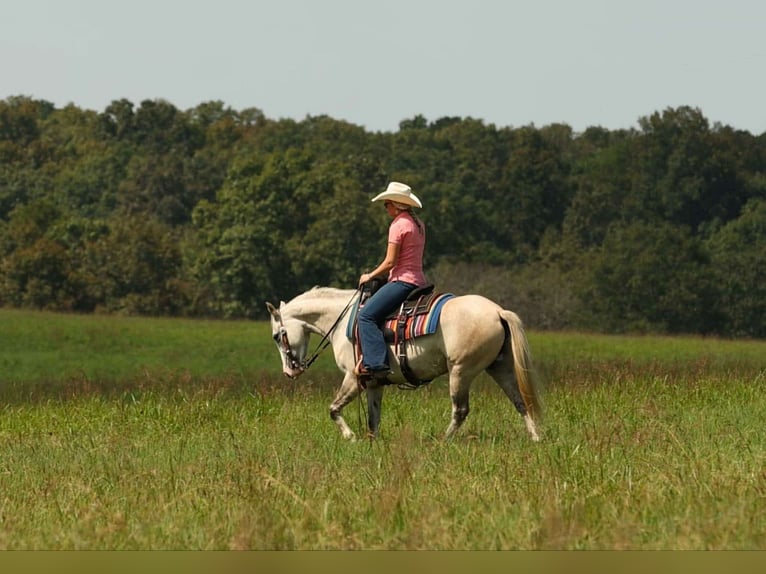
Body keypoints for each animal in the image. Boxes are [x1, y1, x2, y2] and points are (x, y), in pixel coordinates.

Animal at [266, 286, 543, 441]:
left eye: (277, 336)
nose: (289, 371)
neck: (344, 321)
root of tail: (497, 311)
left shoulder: (353, 378)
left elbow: (333, 409)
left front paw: (350, 437)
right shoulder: (373, 383)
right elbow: (373, 419)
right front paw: (372, 443)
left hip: (460, 371)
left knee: (461, 410)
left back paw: (443, 441)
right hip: (500, 367)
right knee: (520, 402)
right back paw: (535, 438)